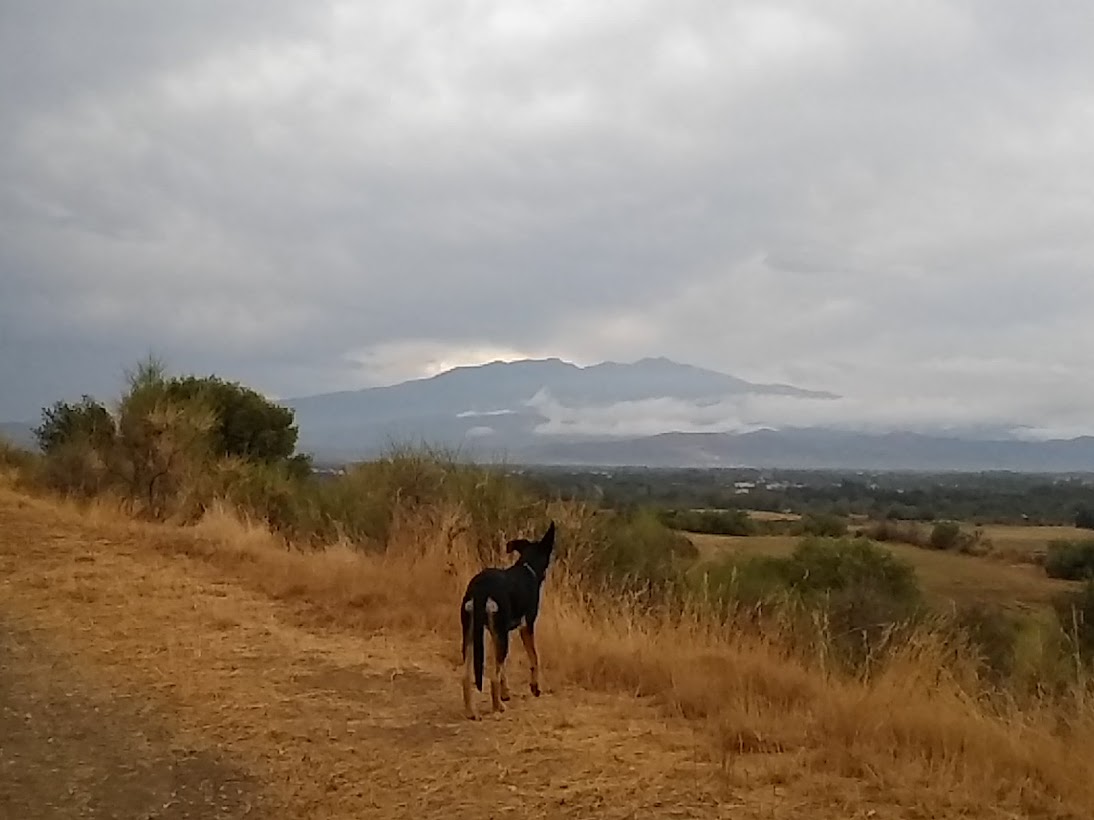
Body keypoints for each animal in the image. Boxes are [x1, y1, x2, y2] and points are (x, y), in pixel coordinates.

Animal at [459, 522, 555, 721]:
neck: (527, 568)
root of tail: (480, 588)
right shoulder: (526, 627)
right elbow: (534, 658)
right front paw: (535, 687)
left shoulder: (497, 633)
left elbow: (502, 668)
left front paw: (505, 693)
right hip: (500, 636)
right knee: (492, 678)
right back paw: (498, 707)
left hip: (470, 634)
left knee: (466, 676)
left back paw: (471, 711)